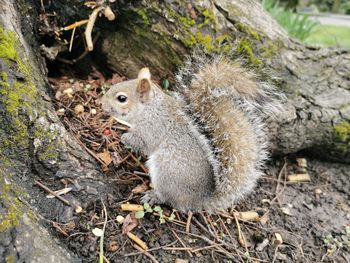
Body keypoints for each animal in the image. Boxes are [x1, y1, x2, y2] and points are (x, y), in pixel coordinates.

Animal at [100, 55, 280, 212]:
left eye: (121, 98)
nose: (101, 104)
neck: (150, 108)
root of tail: (200, 199)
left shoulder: (153, 128)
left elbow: (142, 142)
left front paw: (123, 137)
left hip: (167, 171)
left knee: (168, 198)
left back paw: (154, 196)